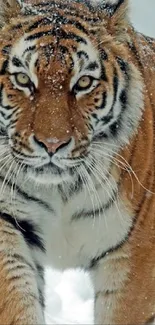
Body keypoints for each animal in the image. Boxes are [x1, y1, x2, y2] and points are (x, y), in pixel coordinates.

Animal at [0, 0, 155, 322]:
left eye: (83, 82)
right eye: (22, 79)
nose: (52, 144)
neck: (61, 191)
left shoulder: (136, 254)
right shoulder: (7, 222)